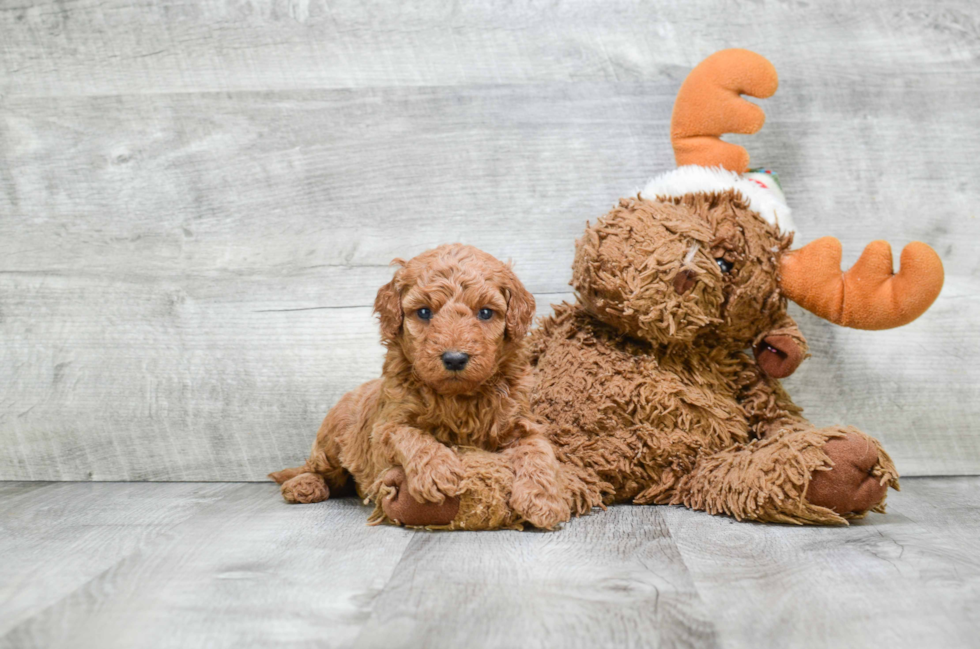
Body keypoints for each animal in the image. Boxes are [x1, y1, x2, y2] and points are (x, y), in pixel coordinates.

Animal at [272, 244, 572, 532]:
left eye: (486, 312)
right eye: (424, 312)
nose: (455, 358)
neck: (458, 398)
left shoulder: (521, 423)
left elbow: (539, 450)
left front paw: (544, 500)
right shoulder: (385, 427)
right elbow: (411, 435)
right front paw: (437, 472)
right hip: (332, 441)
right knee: (319, 469)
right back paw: (303, 485)